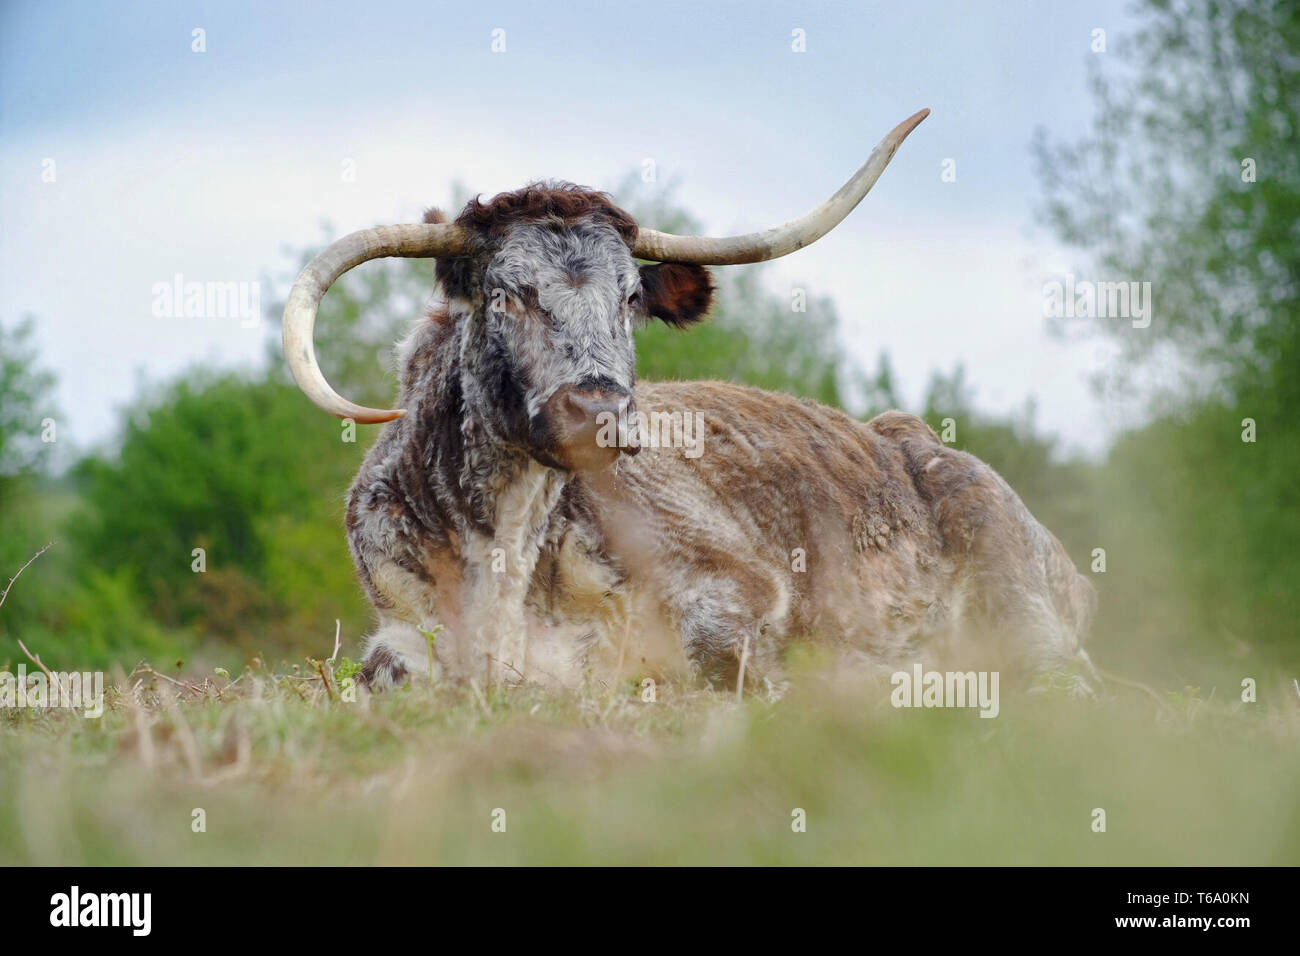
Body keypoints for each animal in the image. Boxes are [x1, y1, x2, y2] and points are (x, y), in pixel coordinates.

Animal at [282, 111, 1097, 697]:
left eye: (629, 295)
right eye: (506, 293)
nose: (598, 410)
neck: (504, 561)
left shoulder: (733, 579)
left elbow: (722, 655)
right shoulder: (398, 620)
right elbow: (385, 672)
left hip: (1013, 583)